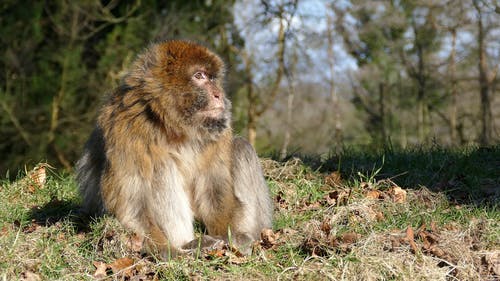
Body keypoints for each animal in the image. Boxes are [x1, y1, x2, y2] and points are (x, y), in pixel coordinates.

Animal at [76, 40, 274, 258]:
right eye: (199, 76)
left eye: (213, 78)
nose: (219, 94)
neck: (173, 126)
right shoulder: (128, 128)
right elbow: (132, 205)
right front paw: (167, 251)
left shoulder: (217, 132)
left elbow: (214, 187)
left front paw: (229, 236)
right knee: (161, 168)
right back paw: (186, 244)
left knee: (241, 148)